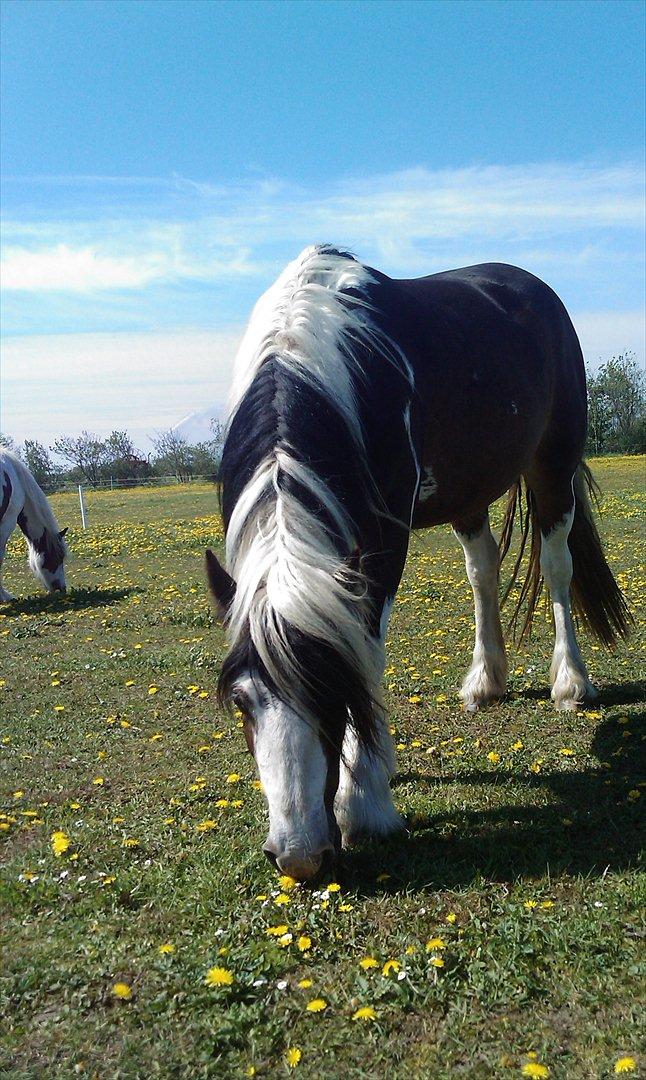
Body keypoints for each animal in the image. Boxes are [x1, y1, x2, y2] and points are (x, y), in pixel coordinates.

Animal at [207, 248, 630, 881]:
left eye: (335, 692)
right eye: (241, 702)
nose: (299, 857)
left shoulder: (382, 546)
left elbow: (367, 646)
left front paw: (364, 801)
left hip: (553, 467)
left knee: (558, 567)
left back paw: (571, 683)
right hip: (469, 494)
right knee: (482, 572)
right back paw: (486, 681)